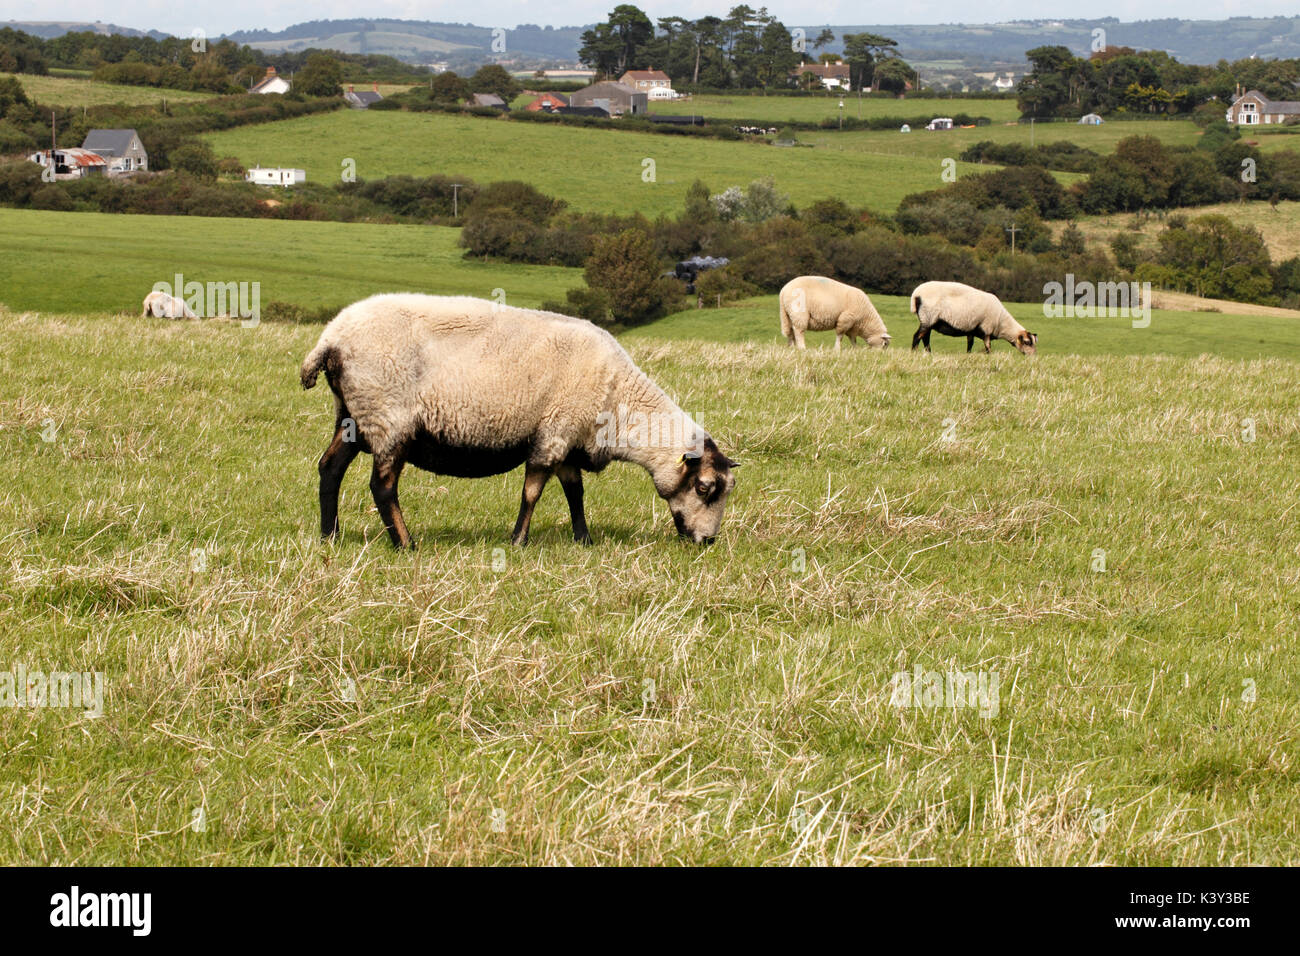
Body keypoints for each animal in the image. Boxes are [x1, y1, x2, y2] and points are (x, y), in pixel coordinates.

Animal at [297, 291, 738, 548]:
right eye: (704, 488)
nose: (707, 542)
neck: (619, 401)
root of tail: (330, 339)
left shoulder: (566, 438)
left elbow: (574, 491)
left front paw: (584, 540)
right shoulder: (553, 435)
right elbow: (533, 492)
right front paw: (518, 541)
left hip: (354, 415)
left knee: (329, 468)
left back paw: (329, 537)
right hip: (389, 418)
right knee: (382, 486)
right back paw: (406, 544)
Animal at [909, 280, 1040, 356]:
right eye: (1027, 342)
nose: (1033, 357)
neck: (1001, 323)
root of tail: (916, 294)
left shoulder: (971, 329)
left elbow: (970, 344)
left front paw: (968, 355)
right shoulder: (986, 329)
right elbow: (988, 347)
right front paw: (989, 357)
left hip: (928, 320)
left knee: (925, 337)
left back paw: (929, 354)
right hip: (928, 317)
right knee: (917, 336)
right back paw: (914, 353)